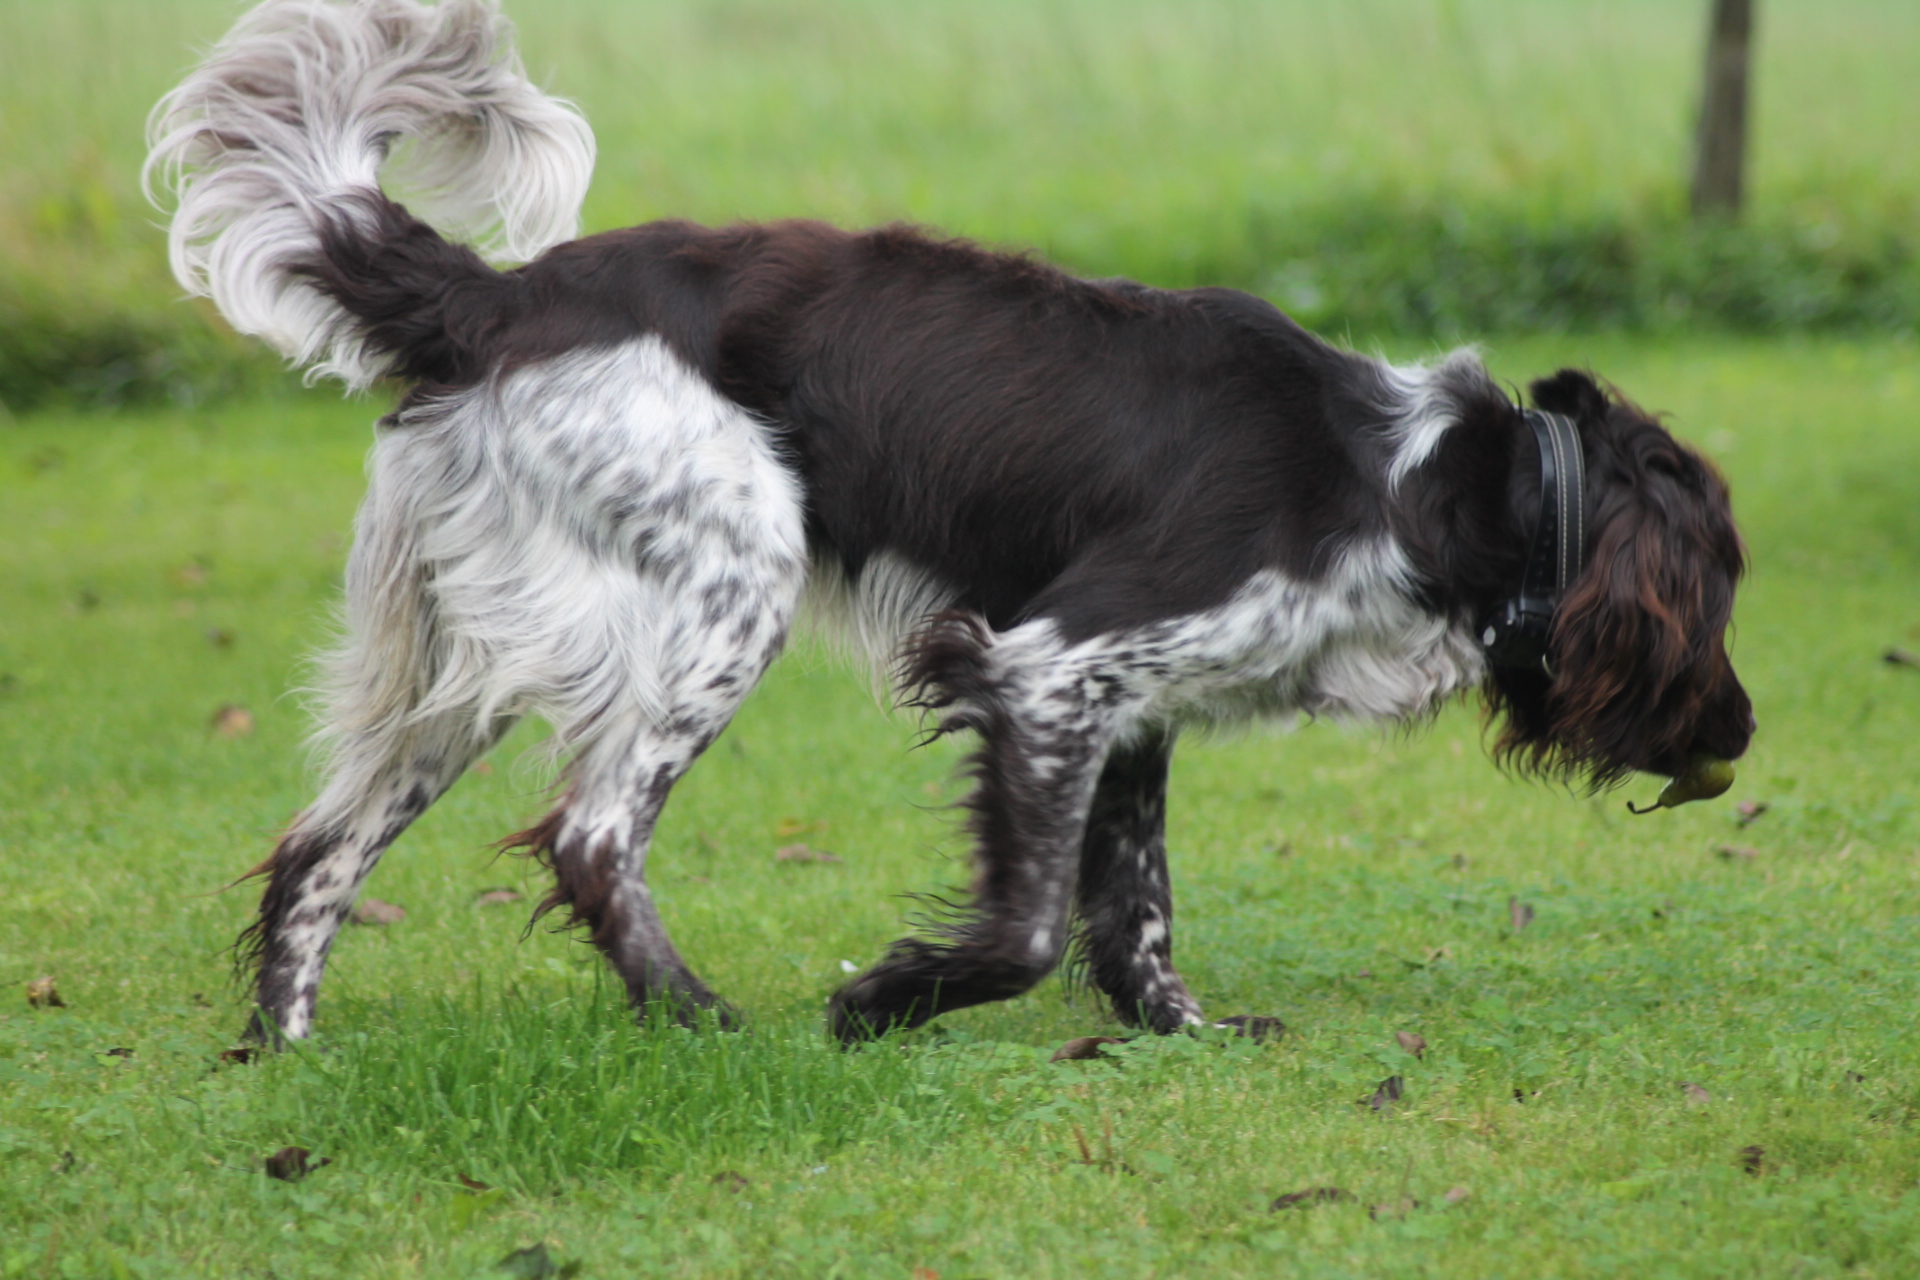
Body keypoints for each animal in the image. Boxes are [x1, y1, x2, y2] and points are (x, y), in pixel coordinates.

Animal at [145, 0, 1758, 1051]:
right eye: (1726, 594)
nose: (1743, 730)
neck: (1414, 478)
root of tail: (497, 297)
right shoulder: (1048, 666)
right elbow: (1033, 924)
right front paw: (884, 998)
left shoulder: (1127, 708)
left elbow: (1133, 910)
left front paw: (1176, 1028)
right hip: (722, 593)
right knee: (594, 835)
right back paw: (700, 1020)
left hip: (481, 651)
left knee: (319, 849)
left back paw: (288, 1054)